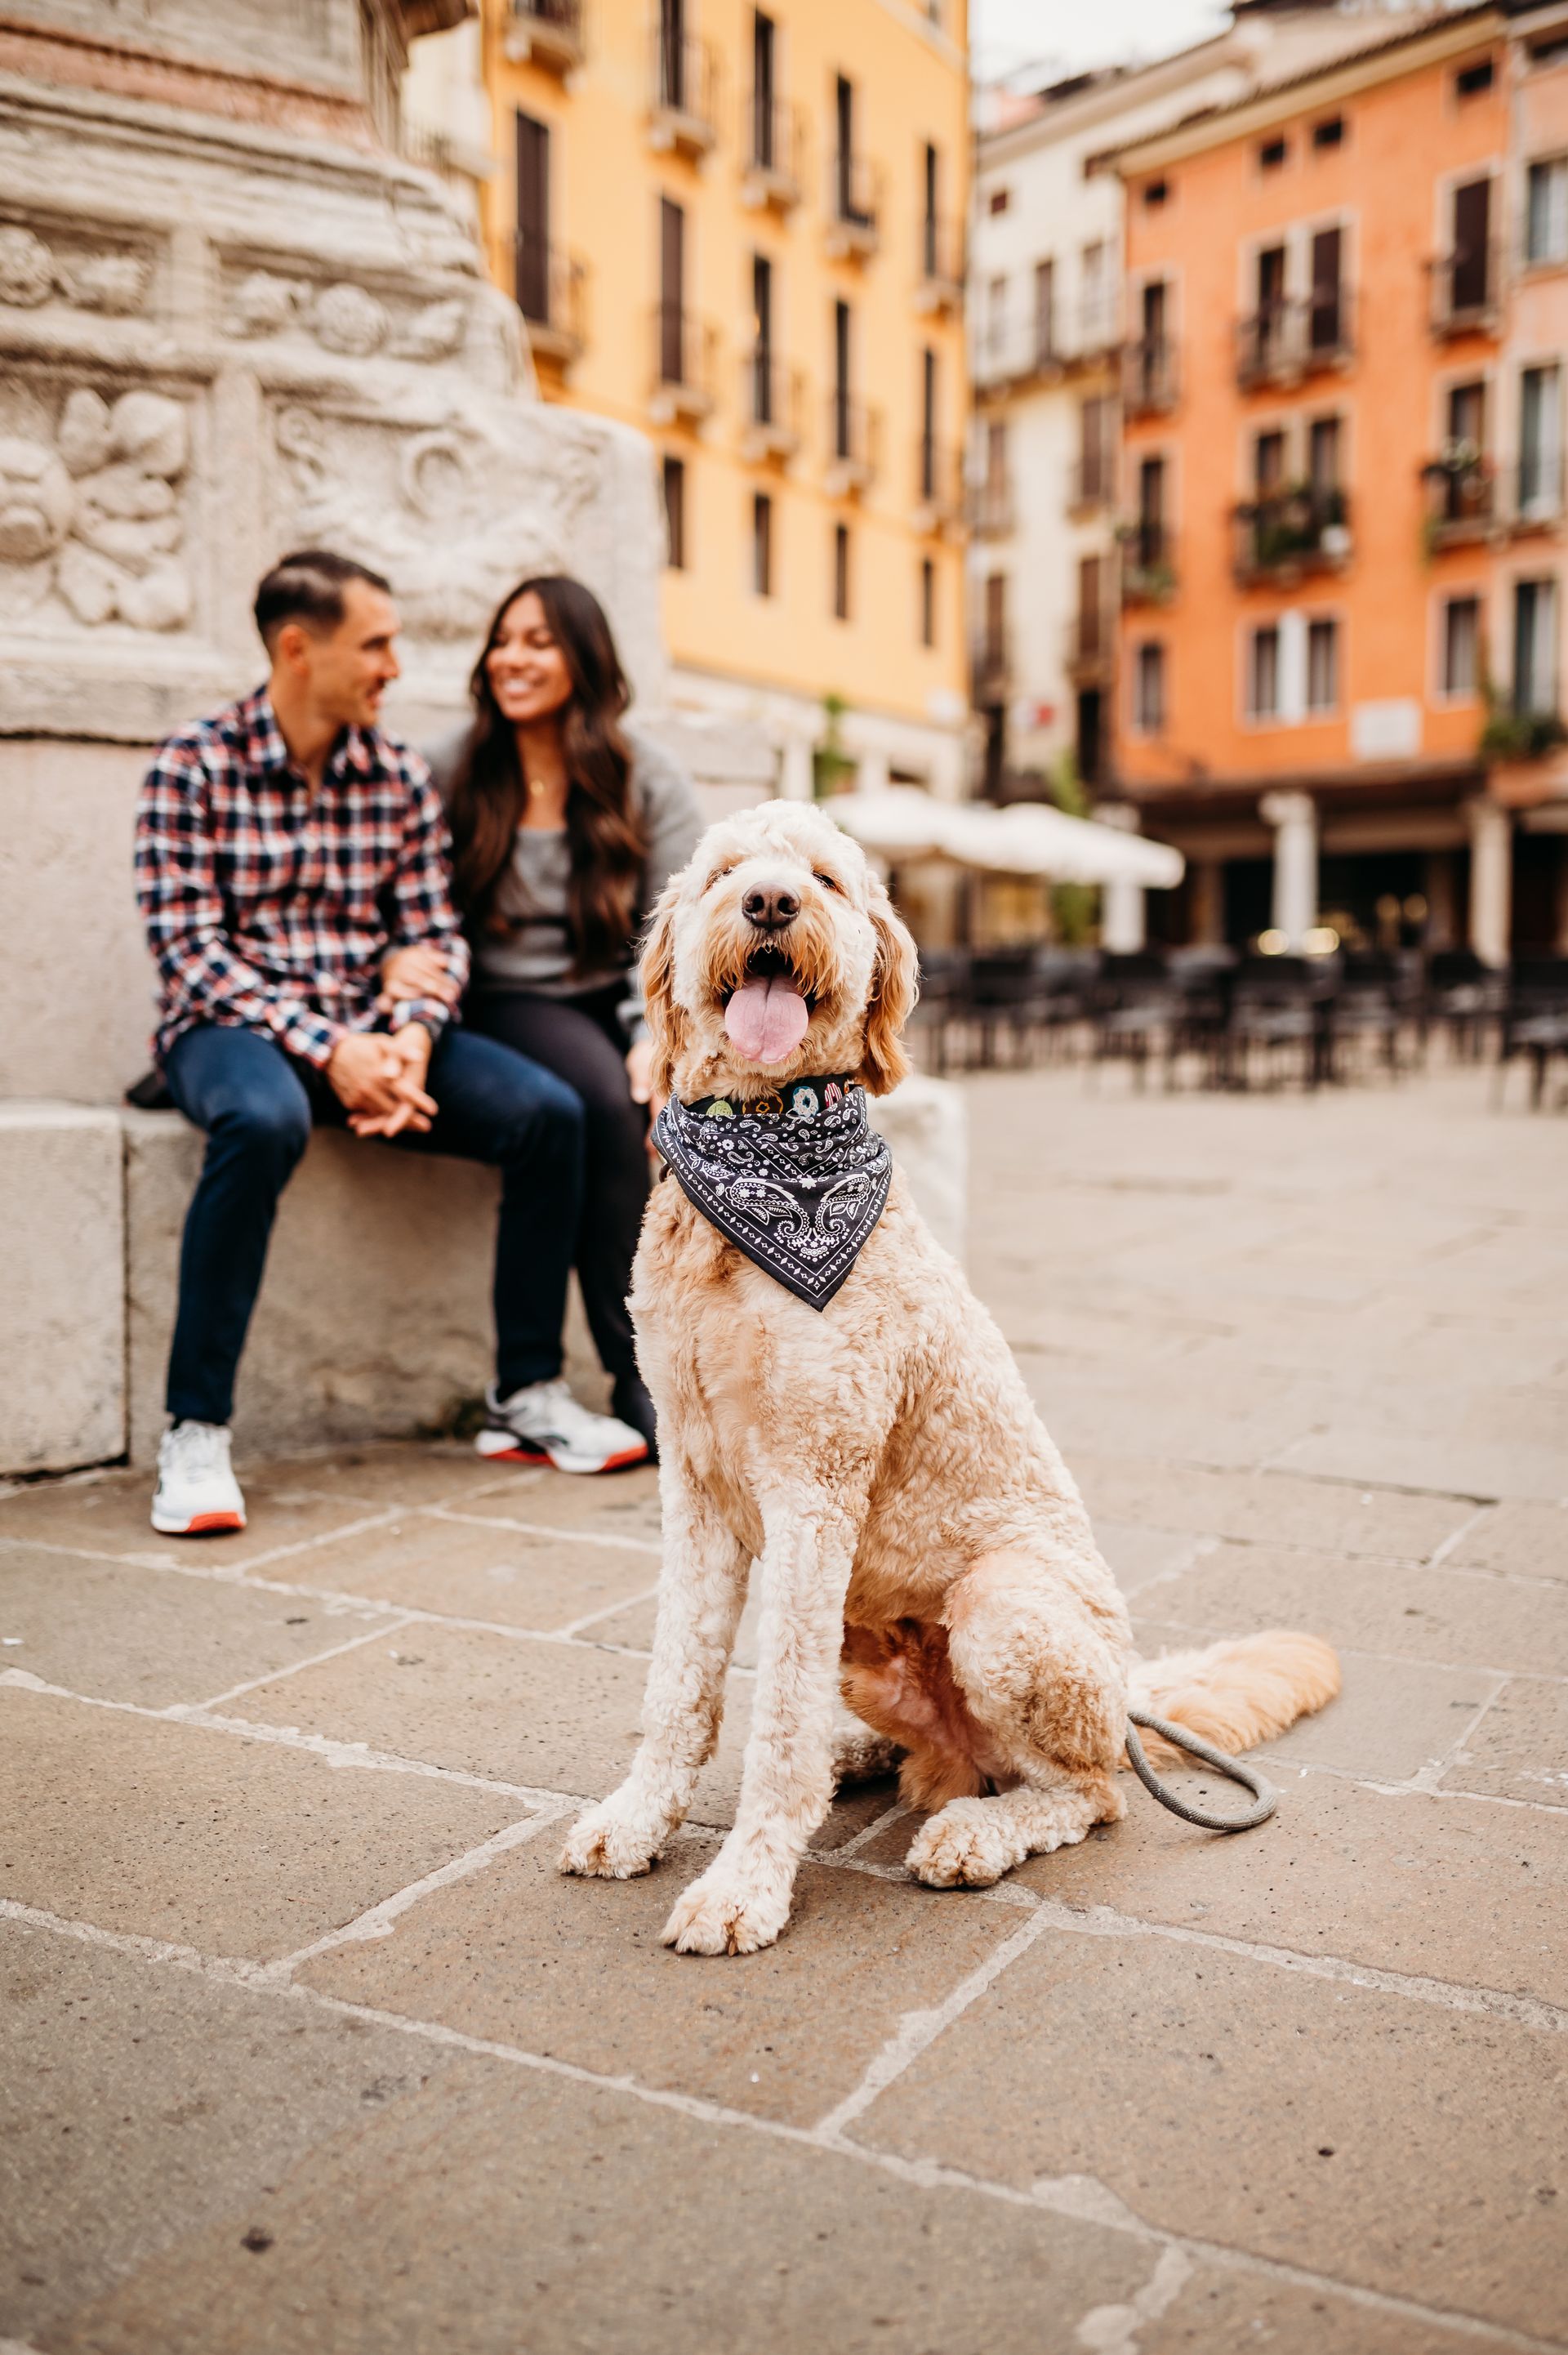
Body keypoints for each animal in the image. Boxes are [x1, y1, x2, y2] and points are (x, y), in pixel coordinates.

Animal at [563, 801, 1327, 1959]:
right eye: (726, 875)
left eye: (826, 878)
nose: (771, 903)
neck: (766, 1147)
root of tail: (1125, 1694)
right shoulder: (694, 1488)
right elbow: (680, 1685)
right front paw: (640, 1817)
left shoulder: (814, 1490)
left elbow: (774, 1723)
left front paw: (746, 1884)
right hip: (863, 1630)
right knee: (926, 1750)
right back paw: (865, 1759)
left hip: (1001, 1610)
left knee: (1086, 1792)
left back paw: (977, 1832)